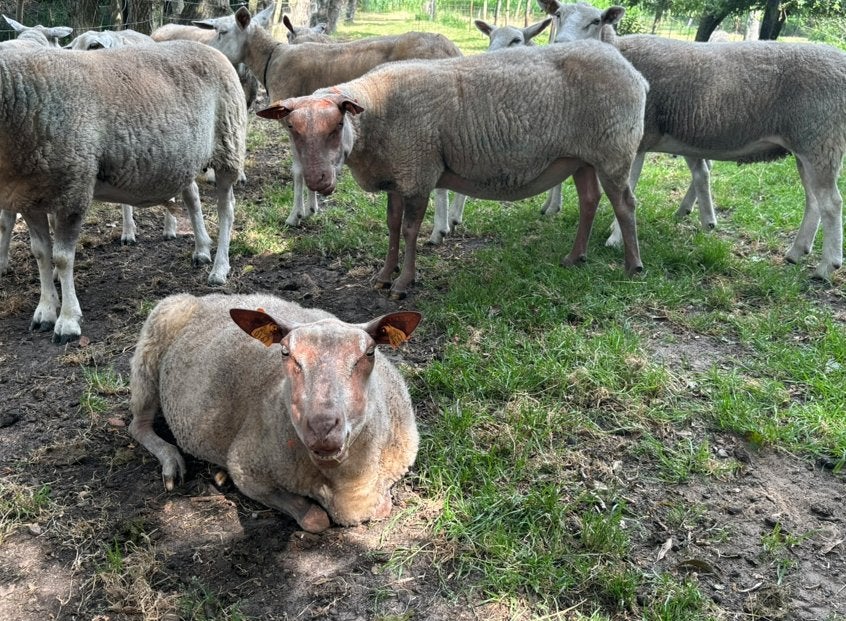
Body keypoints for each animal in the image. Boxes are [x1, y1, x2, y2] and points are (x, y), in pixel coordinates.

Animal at [0, 41, 247, 343]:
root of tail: (211, 50)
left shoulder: (74, 188)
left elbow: (62, 258)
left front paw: (68, 321)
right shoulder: (31, 196)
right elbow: (41, 254)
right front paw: (45, 311)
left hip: (228, 145)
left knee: (226, 209)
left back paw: (220, 268)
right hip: (184, 158)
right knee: (193, 198)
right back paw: (201, 249)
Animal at [129, 292, 422, 533]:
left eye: (370, 352)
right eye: (285, 352)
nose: (322, 428)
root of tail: (210, 297)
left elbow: (382, 507)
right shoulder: (247, 469)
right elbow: (315, 519)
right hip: (149, 349)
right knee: (138, 425)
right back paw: (171, 462)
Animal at [200, 6, 465, 237]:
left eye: (222, 31)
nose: (206, 49)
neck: (271, 59)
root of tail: (452, 50)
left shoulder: (289, 120)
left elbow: (298, 169)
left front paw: (295, 215)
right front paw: (311, 207)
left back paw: (439, 229)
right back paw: (452, 218)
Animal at [256, 41, 649, 298]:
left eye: (338, 125)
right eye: (291, 128)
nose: (318, 180)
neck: (376, 113)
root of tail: (635, 74)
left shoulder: (418, 171)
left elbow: (411, 230)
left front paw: (403, 283)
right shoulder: (398, 174)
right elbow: (392, 226)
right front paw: (384, 275)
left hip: (614, 150)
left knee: (625, 204)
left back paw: (633, 266)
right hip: (582, 157)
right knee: (589, 201)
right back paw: (574, 257)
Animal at [539, 0, 846, 279]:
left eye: (596, 21)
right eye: (558, 14)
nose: (562, 45)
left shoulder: (637, 138)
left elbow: (629, 189)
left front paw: (615, 239)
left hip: (821, 139)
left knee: (831, 203)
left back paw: (825, 267)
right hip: (807, 145)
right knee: (814, 201)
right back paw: (797, 252)